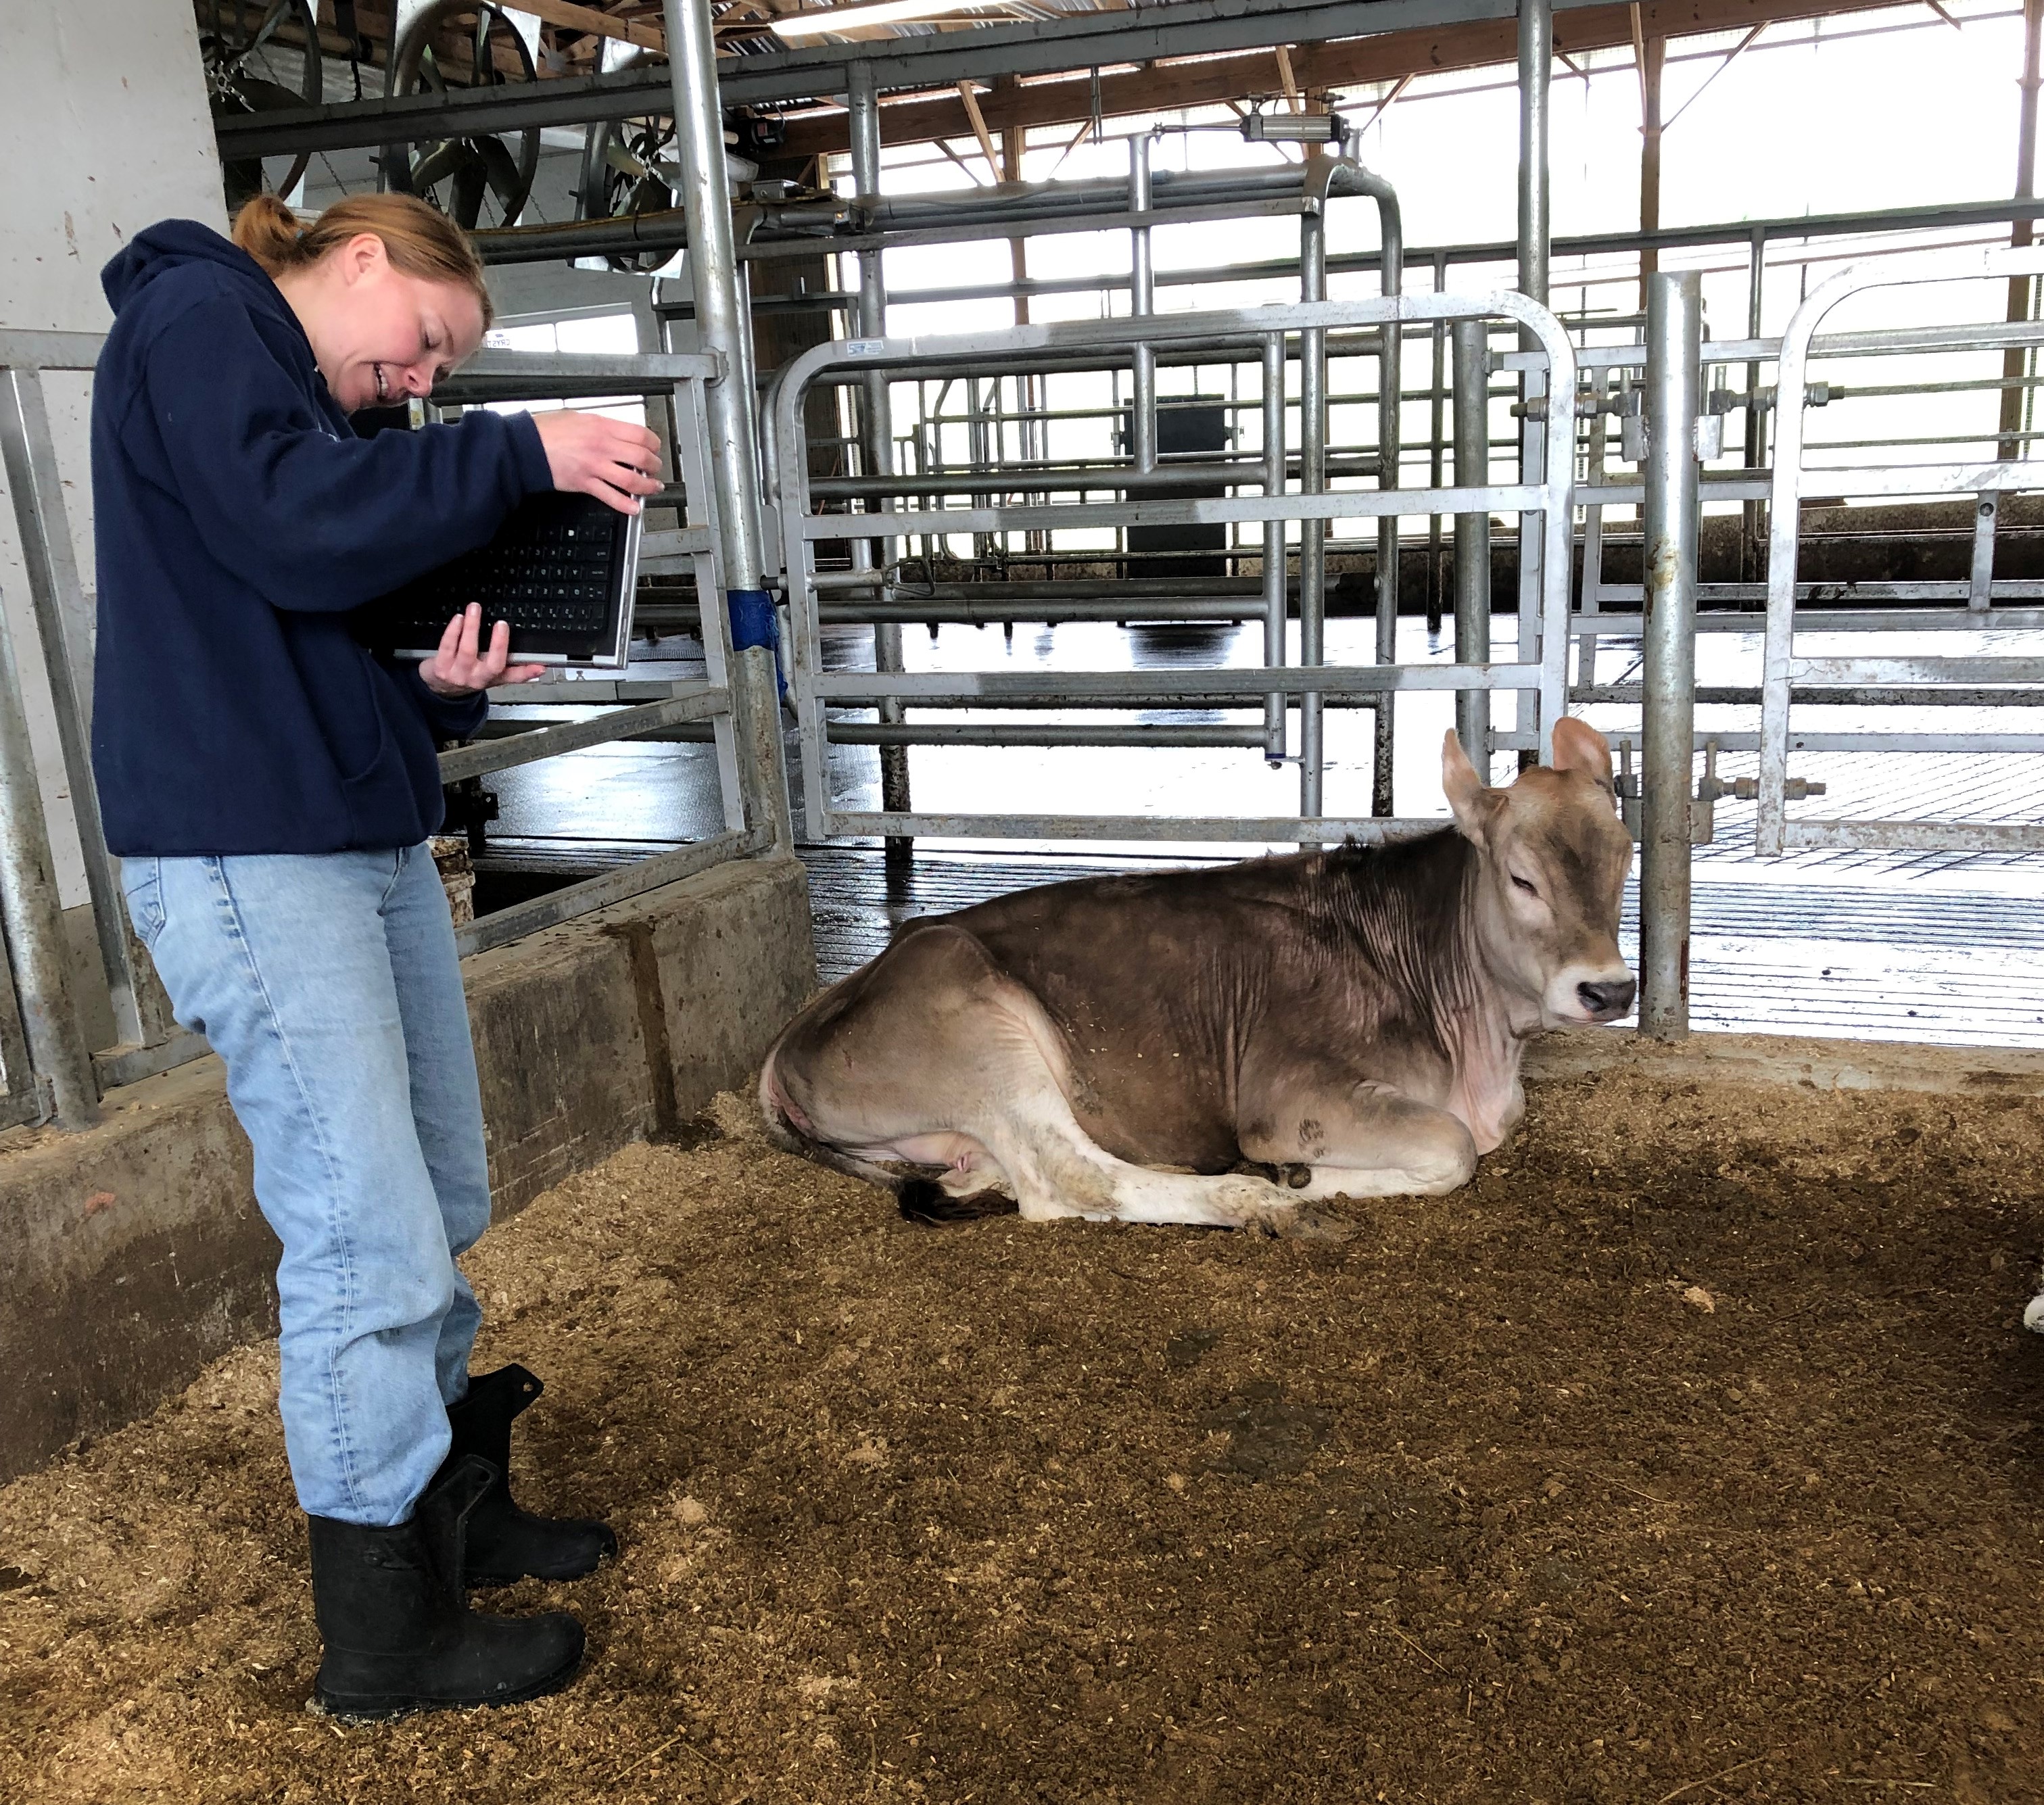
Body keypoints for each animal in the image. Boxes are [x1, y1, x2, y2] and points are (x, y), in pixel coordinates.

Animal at [760, 719, 1635, 1243]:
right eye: (1521, 880)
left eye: (1625, 858)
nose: (1609, 991)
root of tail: (791, 1036)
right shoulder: (1292, 1095)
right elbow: (1452, 1149)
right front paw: (1309, 1181)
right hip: (978, 1028)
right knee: (1071, 1178)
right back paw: (1265, 1202)